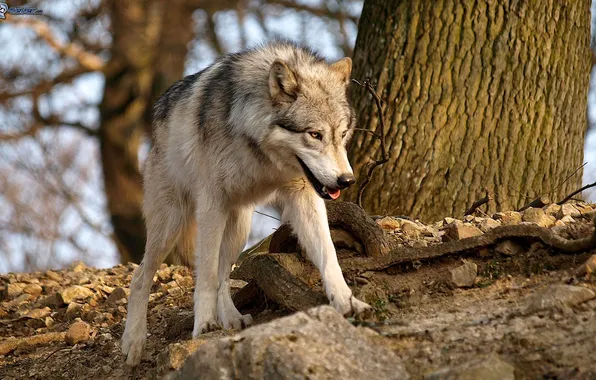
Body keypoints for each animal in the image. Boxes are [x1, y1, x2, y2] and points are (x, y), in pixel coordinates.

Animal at [120, 40, 372, 366]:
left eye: (342, 135)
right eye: (314, 134)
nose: (346, 180)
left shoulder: (305, 195)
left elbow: (328, 254)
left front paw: (346, 301)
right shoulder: (211, 203)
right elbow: (205, 273)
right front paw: (204, 325)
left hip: (240, 224)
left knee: (224, 274)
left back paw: (232, 318)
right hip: (171, 225)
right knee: (141, 277)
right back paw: (134, 342)